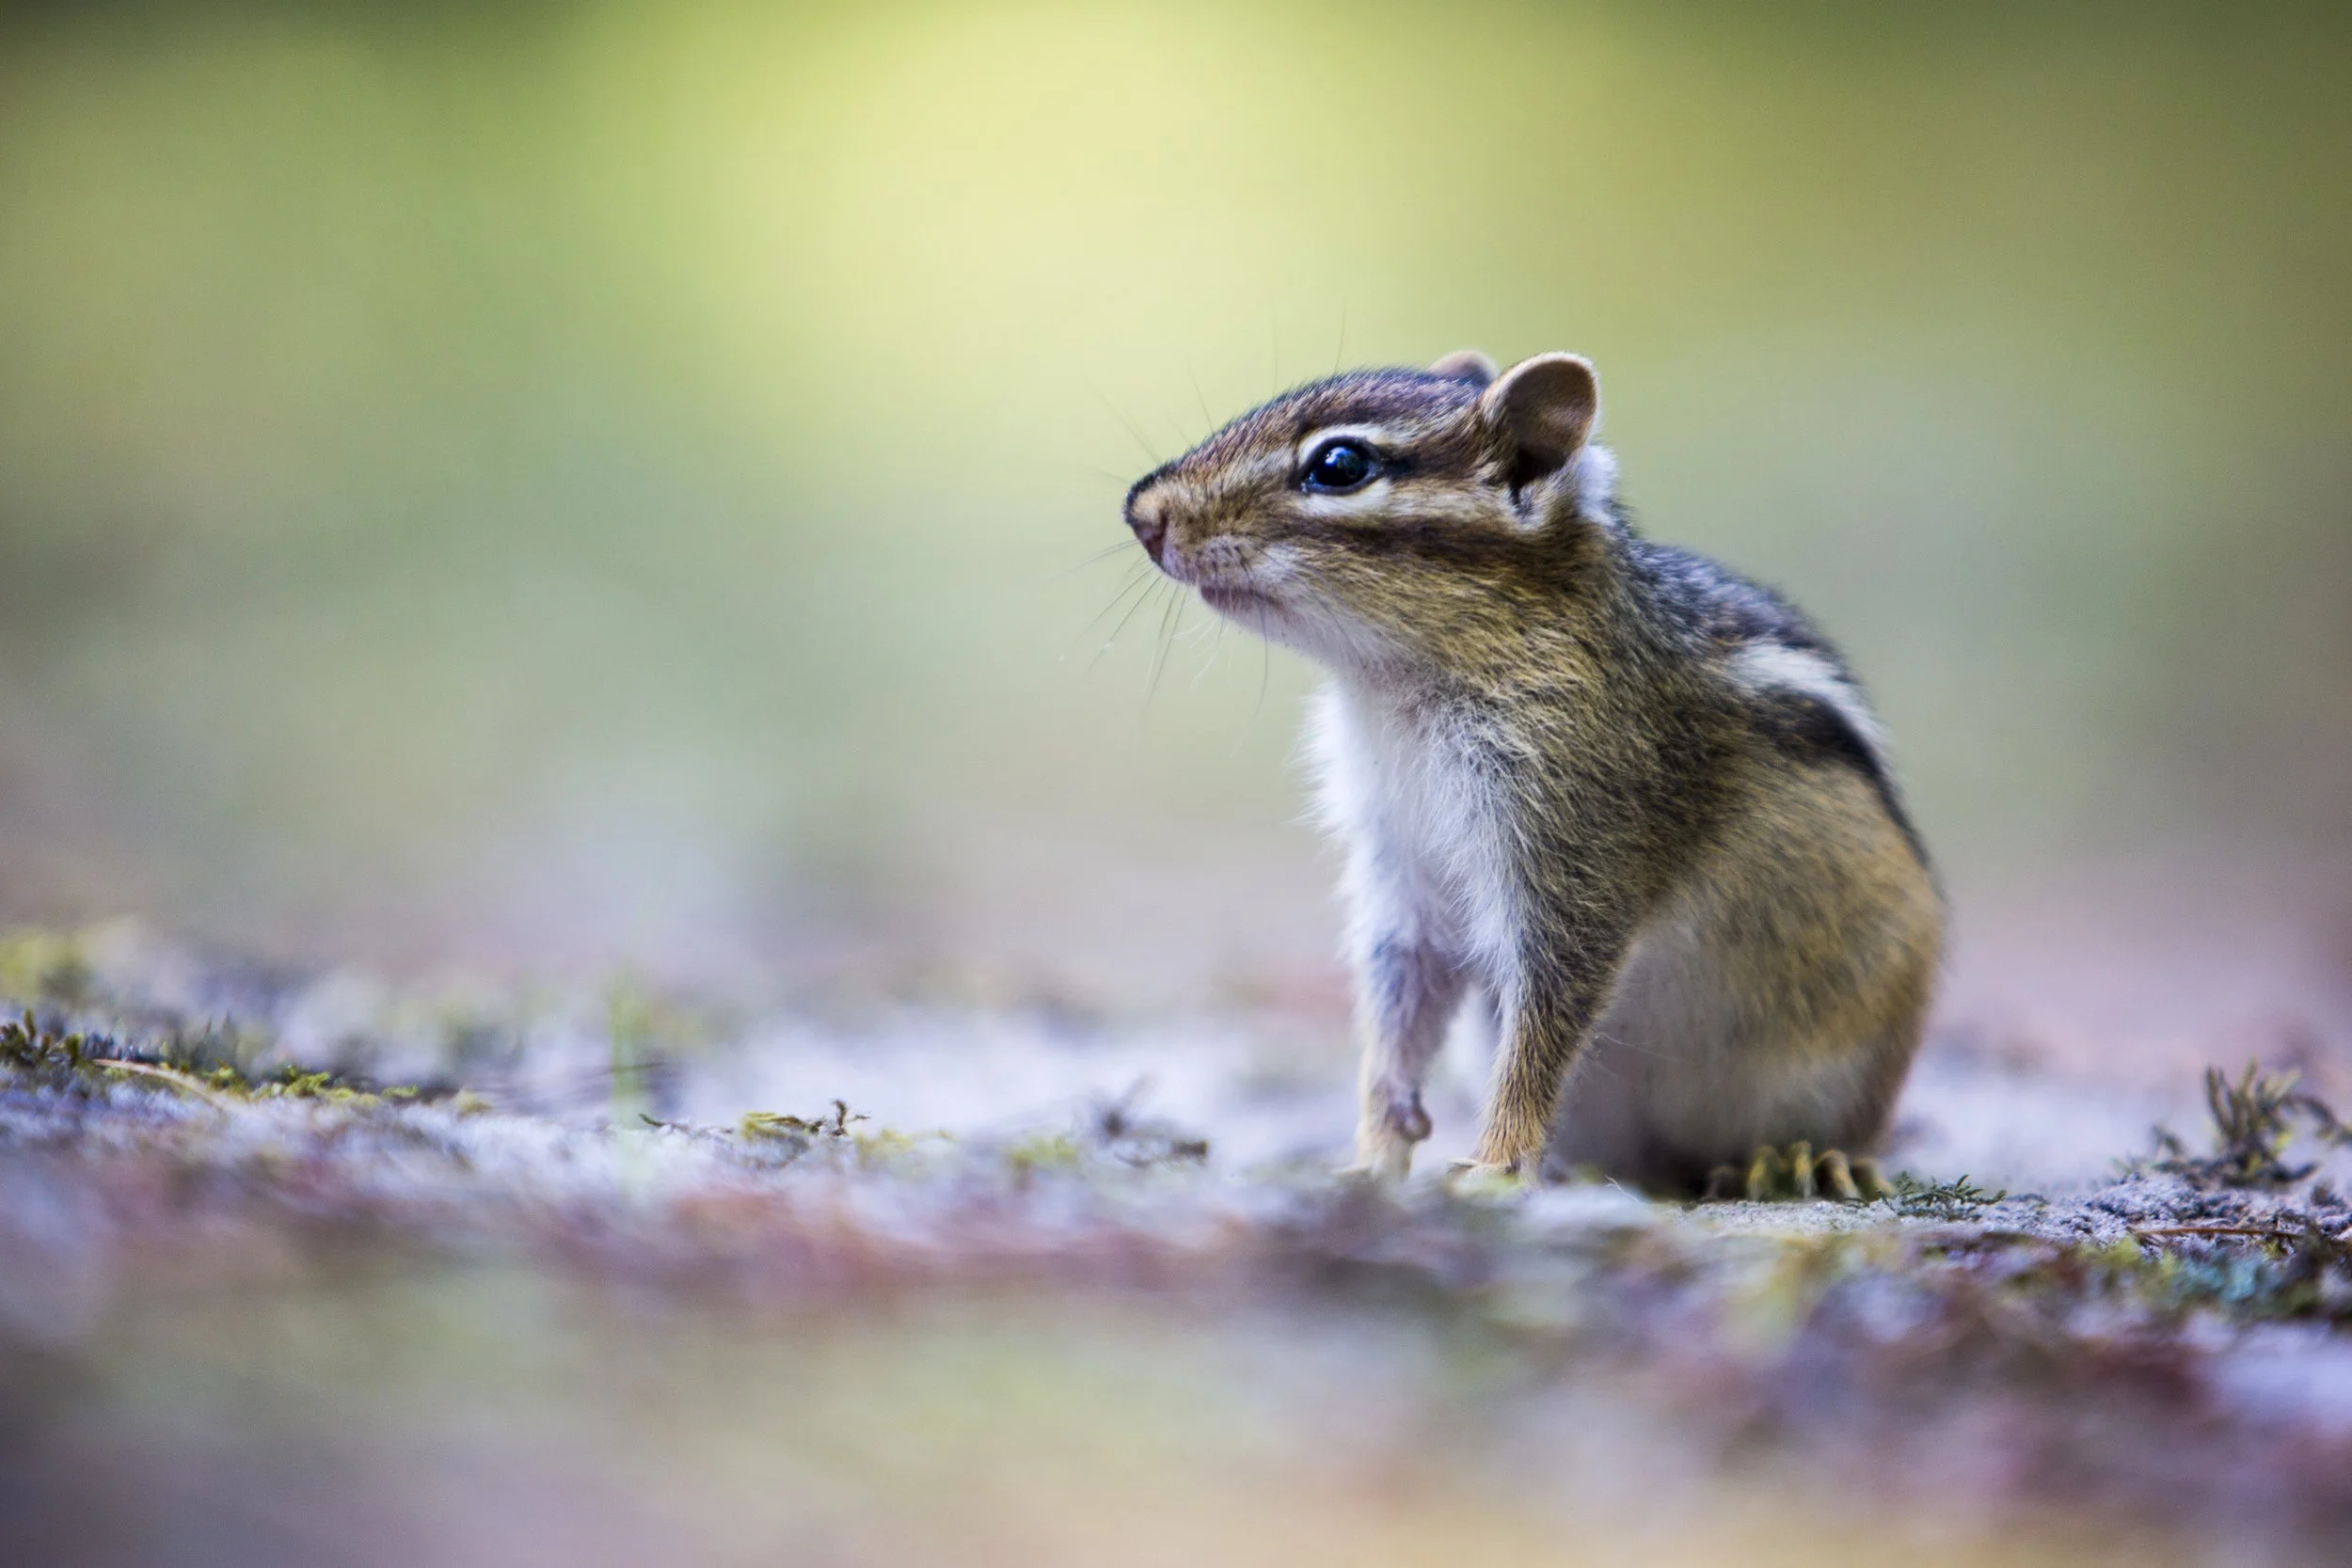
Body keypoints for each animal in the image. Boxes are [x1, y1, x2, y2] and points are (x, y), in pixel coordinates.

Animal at [1122, 350, 1942, 1195]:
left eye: (1340, 465)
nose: (1141, 511)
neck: (1398, 689)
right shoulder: (1402, 867)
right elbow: (1398, 1007)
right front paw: (1370, 1155)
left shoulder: (1576, 844)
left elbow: (1547, 1015)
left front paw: (1495, 1160)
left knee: (1851, 1129)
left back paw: (1808, 1158)